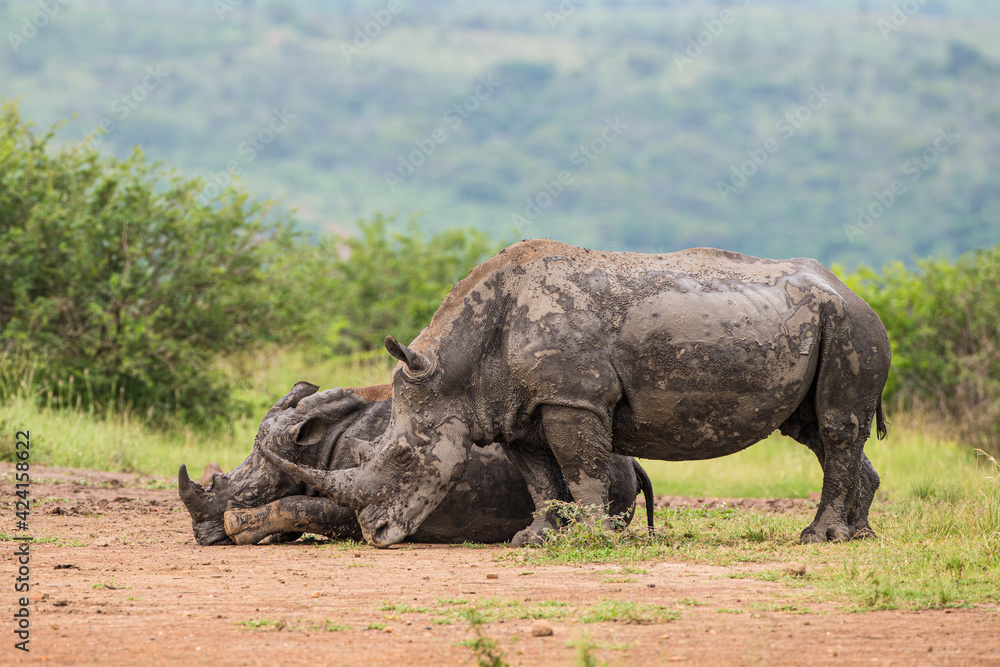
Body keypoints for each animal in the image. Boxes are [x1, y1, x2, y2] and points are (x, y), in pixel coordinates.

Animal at [178, 380, 654, 545]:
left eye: (241, 491)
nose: (202, 537)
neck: (313, 445)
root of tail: (632, 464)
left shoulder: (368, 505)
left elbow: (301, 506)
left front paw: (239, 527)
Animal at [261, 240, 890, 548]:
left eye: (405, 456)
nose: (374, 535)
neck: (457, 368)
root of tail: (852, 289)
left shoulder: (574, 398)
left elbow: (581, 464)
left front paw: (593, 537)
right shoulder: (514, 408)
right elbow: (541, 476)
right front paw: (534, 540)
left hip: (851, 325)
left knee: (835, 426)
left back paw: (818, 540)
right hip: (826, 320)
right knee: (815, 429)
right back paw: (855, 537)